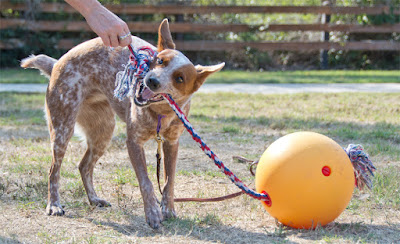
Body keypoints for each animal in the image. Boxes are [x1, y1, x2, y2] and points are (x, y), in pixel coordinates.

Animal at [21, 19, 225, 229]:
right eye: (160, 61)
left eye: (179, 78)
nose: (152, 80)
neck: (159, 114)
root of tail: (56, 63)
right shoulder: (133, 142)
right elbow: (146, 182)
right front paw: (152, 213)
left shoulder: (171, 143)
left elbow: (169, 181)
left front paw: (168, 209)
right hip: (63, 127)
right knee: (54, 170)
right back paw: (54, 205)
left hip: (103, 133)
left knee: (84, 166)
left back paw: (94, 199)